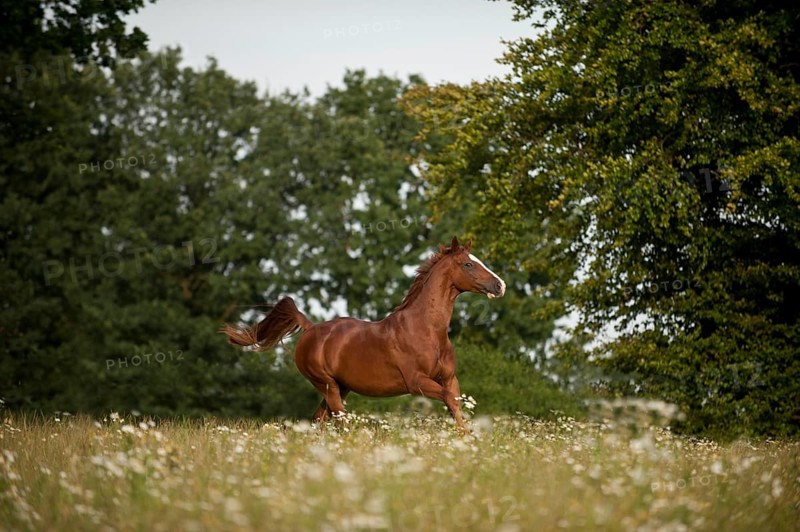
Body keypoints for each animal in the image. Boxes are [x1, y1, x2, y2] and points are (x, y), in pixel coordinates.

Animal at [220, 236, 506, 431]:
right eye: (468, 264)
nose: (500, 285)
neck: (426, 330)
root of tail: (311, 329)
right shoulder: (416, 382)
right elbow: (449, 401)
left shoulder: (449, 379)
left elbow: (456, 405)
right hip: (327, 385)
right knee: (338, 420)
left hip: (340, 387)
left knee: (320, 419)